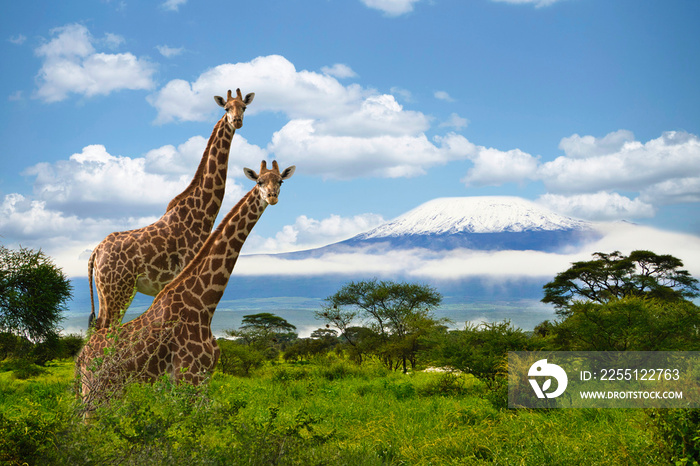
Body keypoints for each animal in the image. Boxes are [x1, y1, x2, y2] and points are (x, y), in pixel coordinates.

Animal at [76, 160, 296, 400]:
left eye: (280, 181)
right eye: (259, 182)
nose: (272, 197)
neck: (203, 303)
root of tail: (80, 359)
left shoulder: (203, 379)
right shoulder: (188, 377)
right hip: (98, 388)